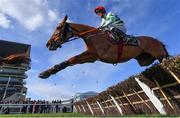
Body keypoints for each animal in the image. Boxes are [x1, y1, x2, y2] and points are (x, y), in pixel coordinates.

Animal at [38, 15, 169, 79]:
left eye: (58, 27)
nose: (48, 44)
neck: (92, 36)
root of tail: (158, 41)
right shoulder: (92, 57)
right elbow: (72, 60)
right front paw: (47, 71)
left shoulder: (95, 54)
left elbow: (72, 59)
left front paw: (46, 72)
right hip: (144, 60)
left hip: (159, 55)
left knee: (165, 59)